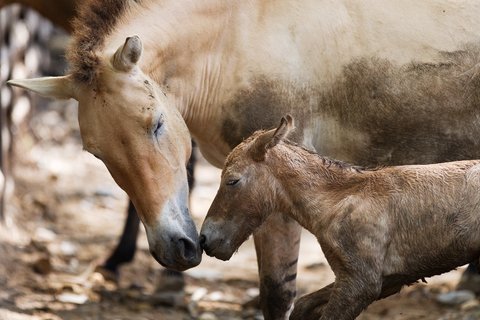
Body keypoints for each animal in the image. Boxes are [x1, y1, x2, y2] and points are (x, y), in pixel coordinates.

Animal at [200, 115, 480, 320]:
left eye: (232, 181)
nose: (204, 239)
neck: (338, 199)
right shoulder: (383, 280)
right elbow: (302, 305)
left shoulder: (361, 283)